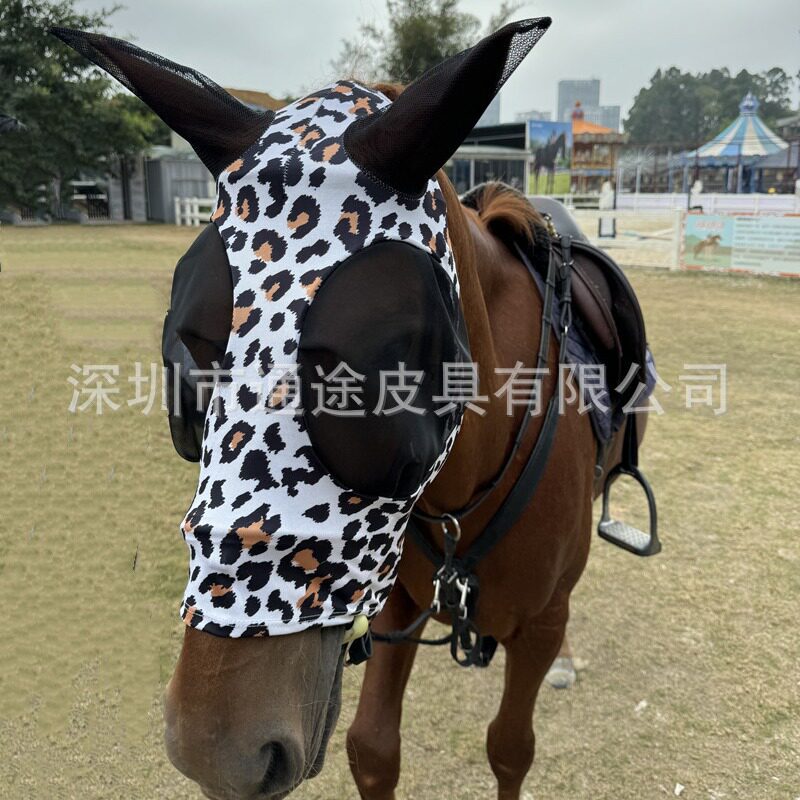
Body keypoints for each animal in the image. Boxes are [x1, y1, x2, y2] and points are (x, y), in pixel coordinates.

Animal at [53, 18, 654, 800]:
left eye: (377, 379)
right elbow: (372, 748)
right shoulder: (395, 603)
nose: (216, 749)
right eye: (186, 364)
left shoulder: (538, 623)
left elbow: (509, 748)